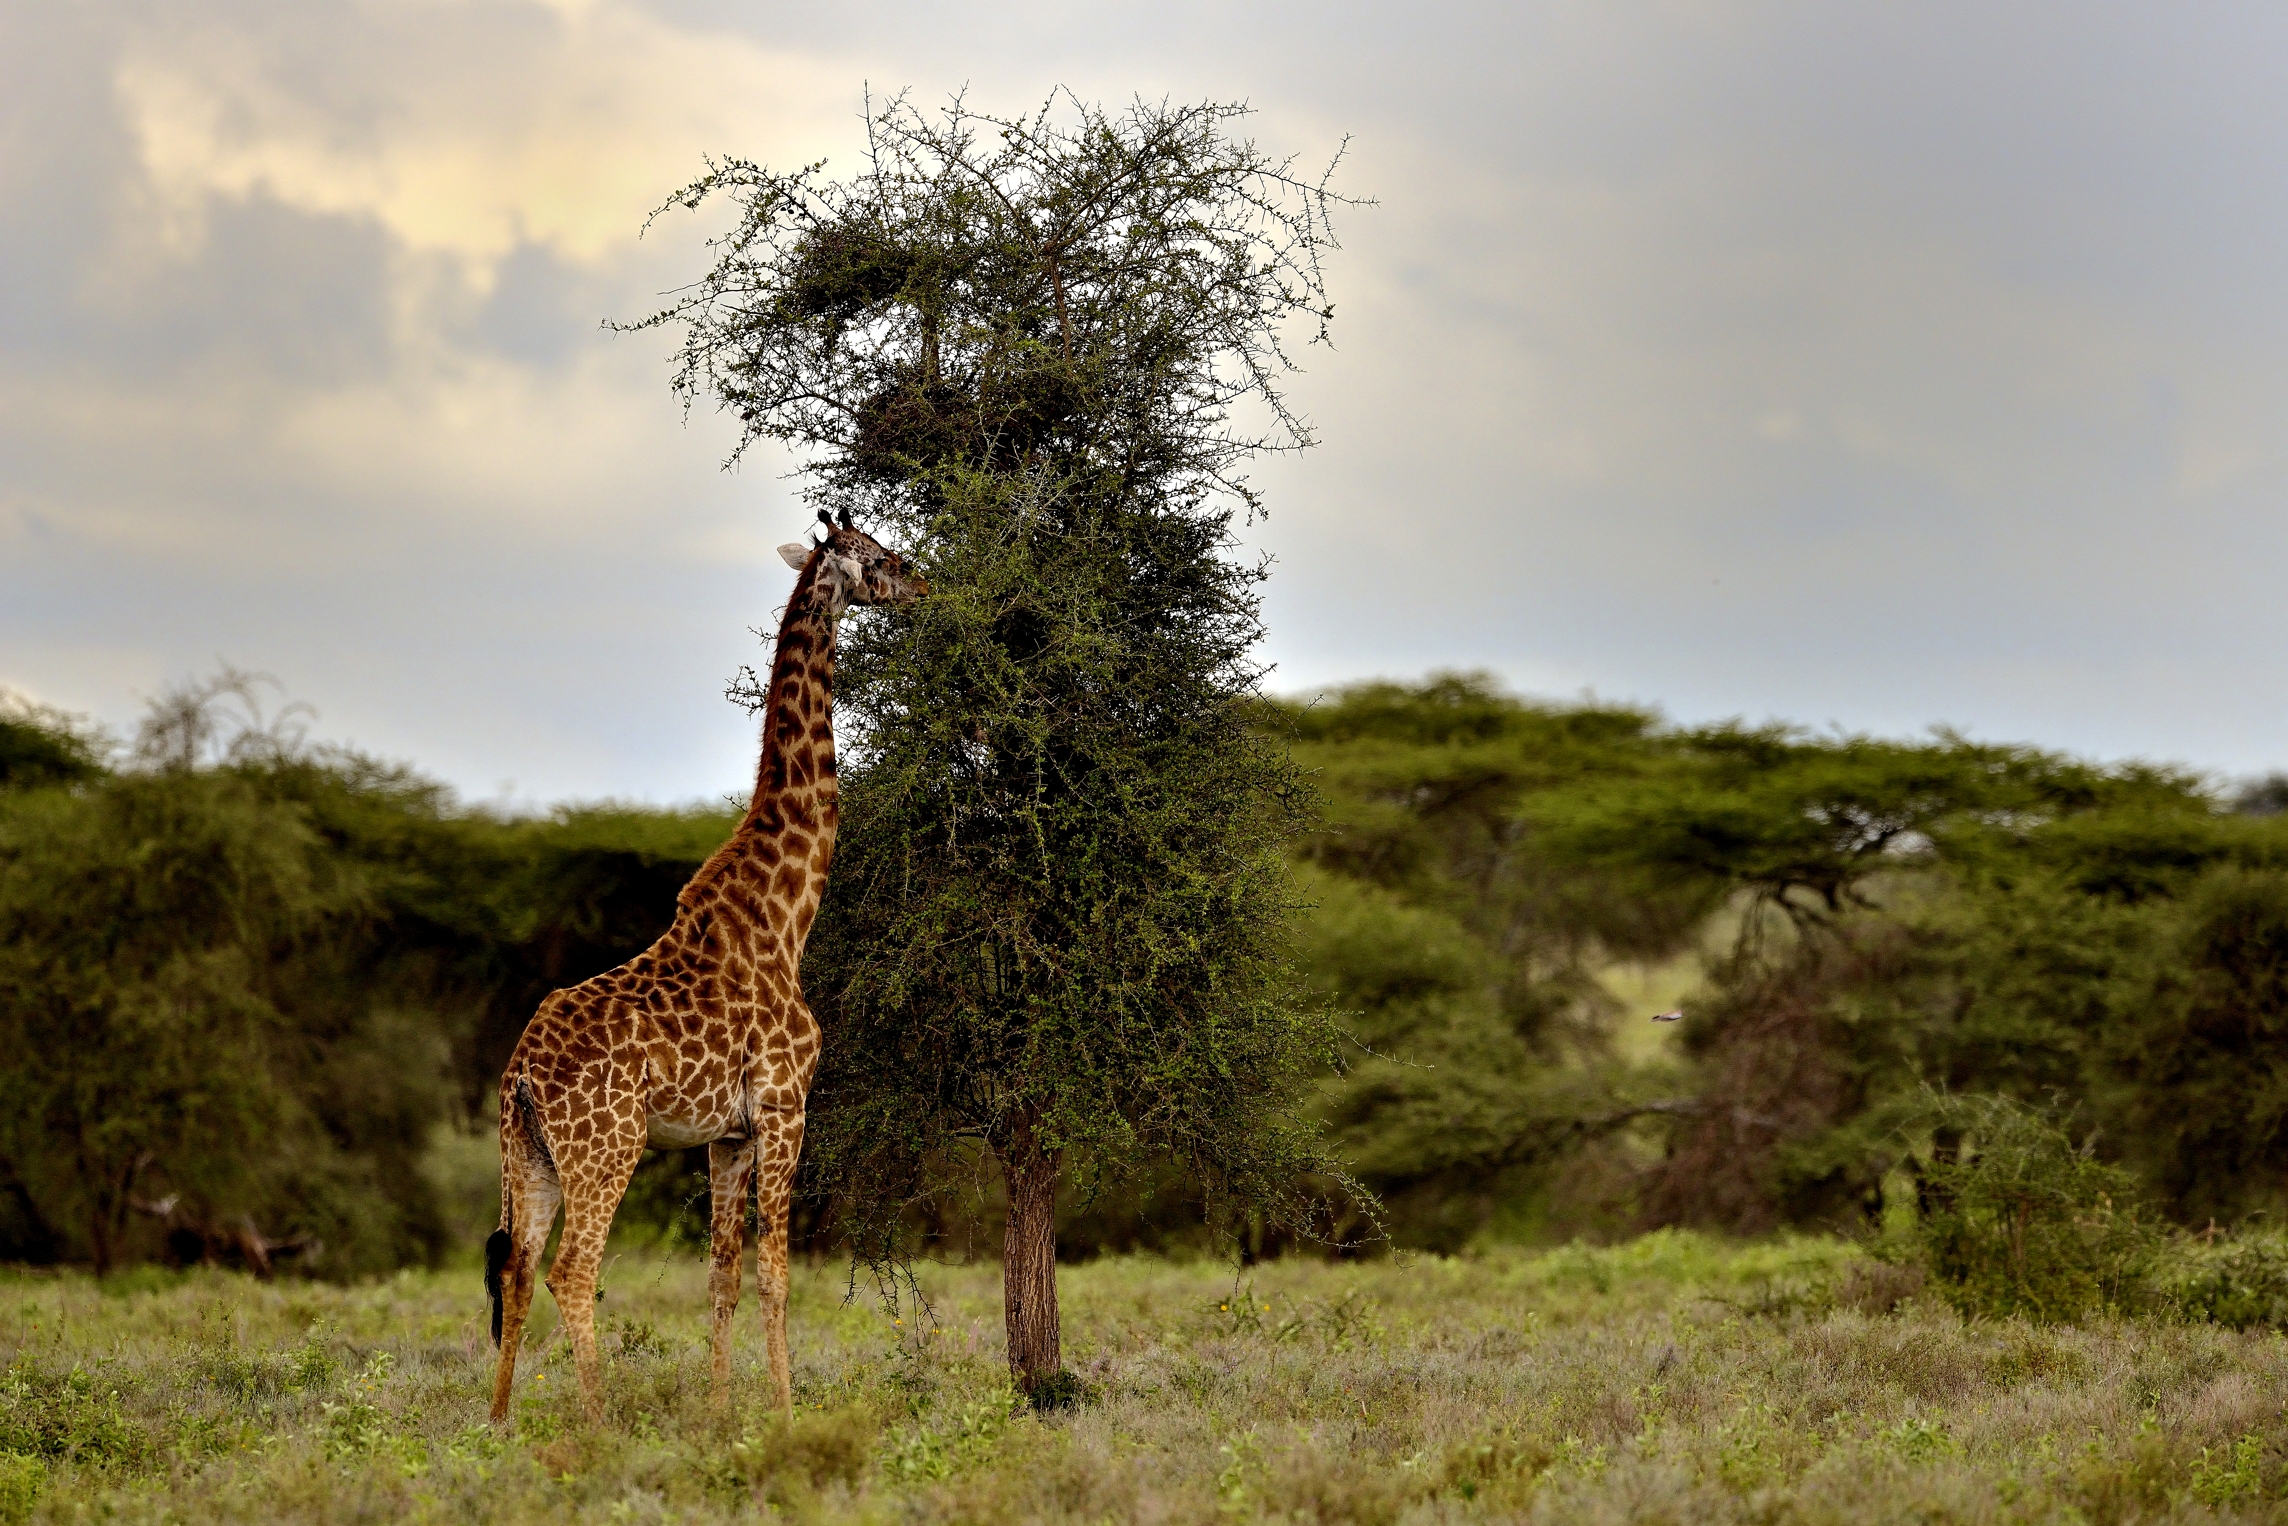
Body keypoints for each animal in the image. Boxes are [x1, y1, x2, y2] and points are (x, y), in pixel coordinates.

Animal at [484, 510, 927, 1425]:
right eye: (875, 556)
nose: (924, 580)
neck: (787, 914)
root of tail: (521, 1073)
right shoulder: (787, 1105)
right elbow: (777, 1278)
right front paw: (786, 1414)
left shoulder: (726, 1134)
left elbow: (721, 1277)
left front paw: (722, 1413)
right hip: (607, 1146)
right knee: (572, 1270)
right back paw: (598, 1418)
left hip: (528, 1154)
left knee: (517, 1267)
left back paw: (500, 1420)